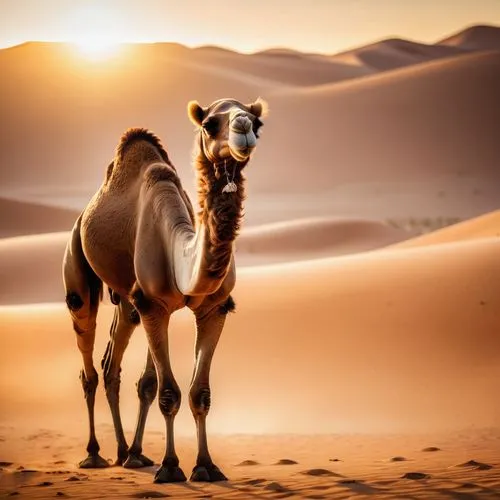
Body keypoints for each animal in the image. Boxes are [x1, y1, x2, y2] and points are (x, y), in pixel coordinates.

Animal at [63, 95, 268, 482]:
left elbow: (196, 392)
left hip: (129, 302)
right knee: (88, 360)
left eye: (258, 122)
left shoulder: (213, 308)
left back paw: (130, 453)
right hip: (77, 267)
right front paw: (172, 467)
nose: (243, 128)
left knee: (114, 364)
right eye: (209, 124)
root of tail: (83, 215)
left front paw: (205, 466)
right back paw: (95, 454)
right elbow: (169, 392)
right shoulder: (155, 306)